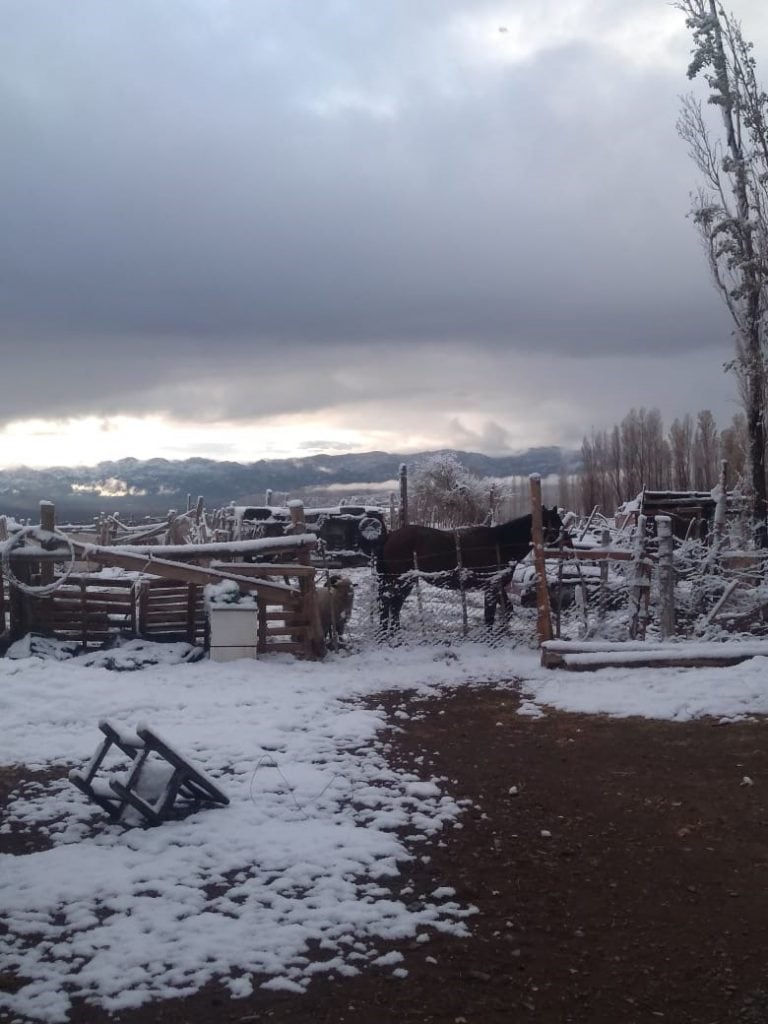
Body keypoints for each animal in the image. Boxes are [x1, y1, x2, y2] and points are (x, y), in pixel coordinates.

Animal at [376, 505, 565, 630]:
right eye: (554, 524)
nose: (564, 544)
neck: (500, 544)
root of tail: (391, 535)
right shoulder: (491, 587)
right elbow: (490, 616)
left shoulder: (497, 587)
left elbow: (507, 611)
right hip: (403, 581)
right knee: (393, 605)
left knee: (391, 605)